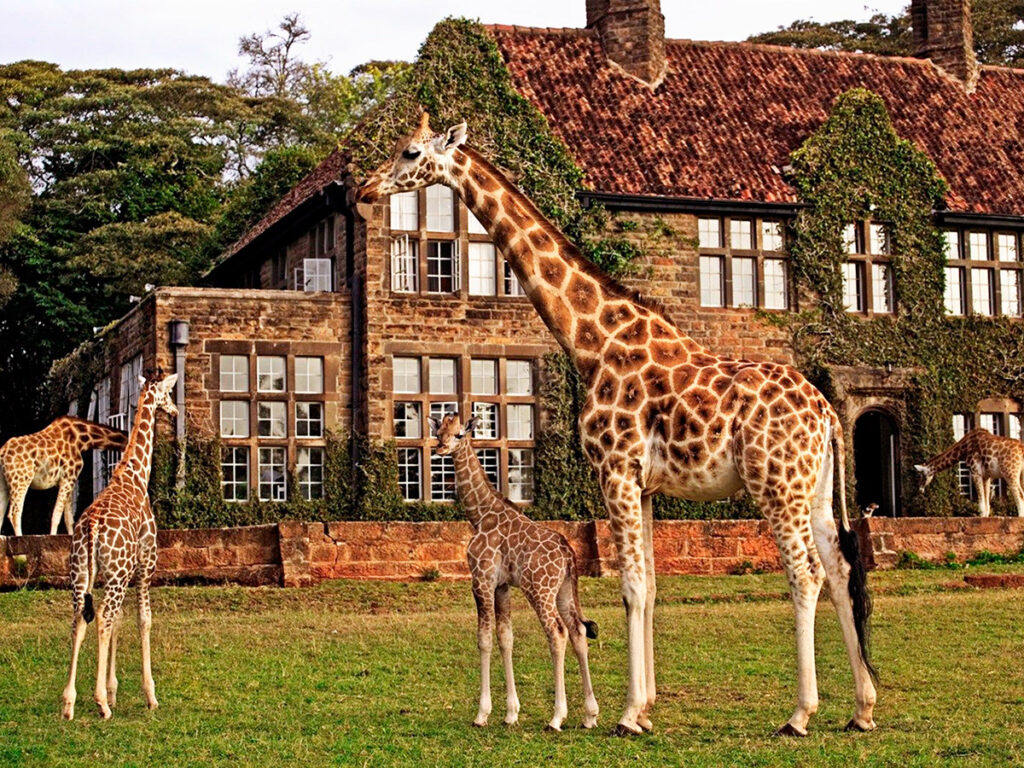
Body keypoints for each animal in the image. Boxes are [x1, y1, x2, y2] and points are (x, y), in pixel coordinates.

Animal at [0, 416, 129, 536]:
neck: (82, 439)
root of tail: (2, 452)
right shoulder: (68, 477)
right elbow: (57, 515)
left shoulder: (68, 480)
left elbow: (68, 518)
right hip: (22, 478)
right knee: (14, 512)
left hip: (5, 483)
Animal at [60, 373, 177, 721]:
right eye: (168, 393)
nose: (175, 410)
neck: (135, 474)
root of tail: (92, 528)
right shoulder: (144, 566)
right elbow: (143, 619)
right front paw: (150, 695)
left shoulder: (116, 574)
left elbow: (120, 621)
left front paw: (113, 690)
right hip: (115, 575)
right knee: (101, 617)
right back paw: (99, 703)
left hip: (81, 575)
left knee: (80, 619)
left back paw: (69, 703)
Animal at [430, 413, 599, 731]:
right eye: (439, 431)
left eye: (459, 434)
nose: (440, 448)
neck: (479, 514)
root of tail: (567, 554)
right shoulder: (502, 585)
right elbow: (505, 637)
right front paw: (511, 713)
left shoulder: (481, 579)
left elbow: (484, 639)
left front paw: (482, 714)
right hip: (563, 590)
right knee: (578, 631)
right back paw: (589, 715)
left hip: (540, 589)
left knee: (557, 632)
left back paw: (556, 717)